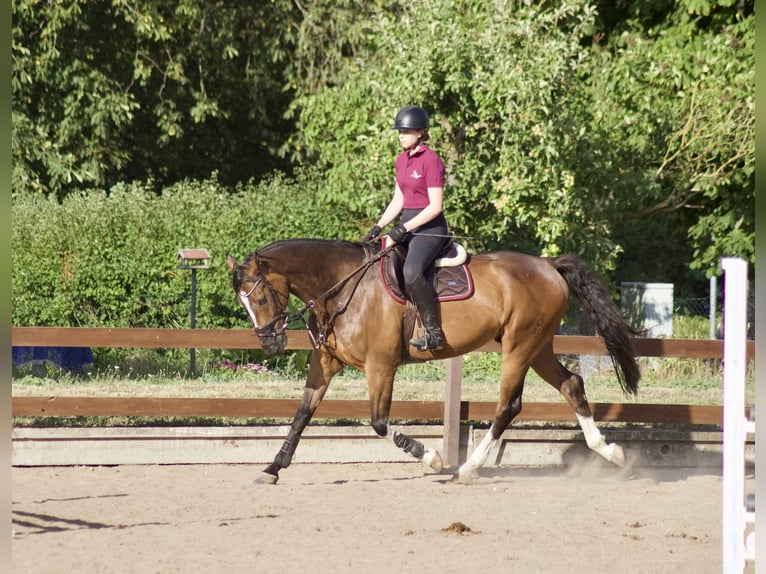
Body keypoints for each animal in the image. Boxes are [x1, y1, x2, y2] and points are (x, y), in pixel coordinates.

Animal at [226, 238, 640, 486]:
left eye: (259, 298)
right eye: (244, 304)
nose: (271, 344)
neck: (342, 289)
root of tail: (549, 264)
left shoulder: (381, 366)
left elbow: (378, 423)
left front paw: (433, 458)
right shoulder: (325, 363)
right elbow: (301, 414)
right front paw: (273, 468)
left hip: (520, 346)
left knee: (508, 405)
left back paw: (467, 469)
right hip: (537, 348)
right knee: (572, 385)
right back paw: (611, 452)